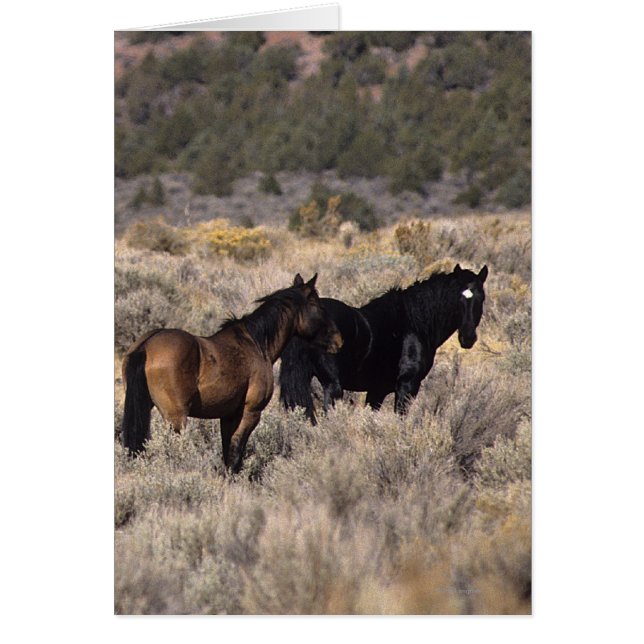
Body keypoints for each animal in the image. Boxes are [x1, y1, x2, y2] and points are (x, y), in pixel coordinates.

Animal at [121, 273, 342, 472]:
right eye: (319, 306)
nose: (339, 340)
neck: (255, 343)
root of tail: (146, 345)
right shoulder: (250, 413)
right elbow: (236, 452)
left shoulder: (227, 416)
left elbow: (227, 451)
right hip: (176, 418)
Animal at [279, 264, 488, 423]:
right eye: (457, 299)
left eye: (481, 298)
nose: (468, 337)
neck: (414, 323)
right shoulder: (407, 386)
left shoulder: (376, 391)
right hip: (333, 387)